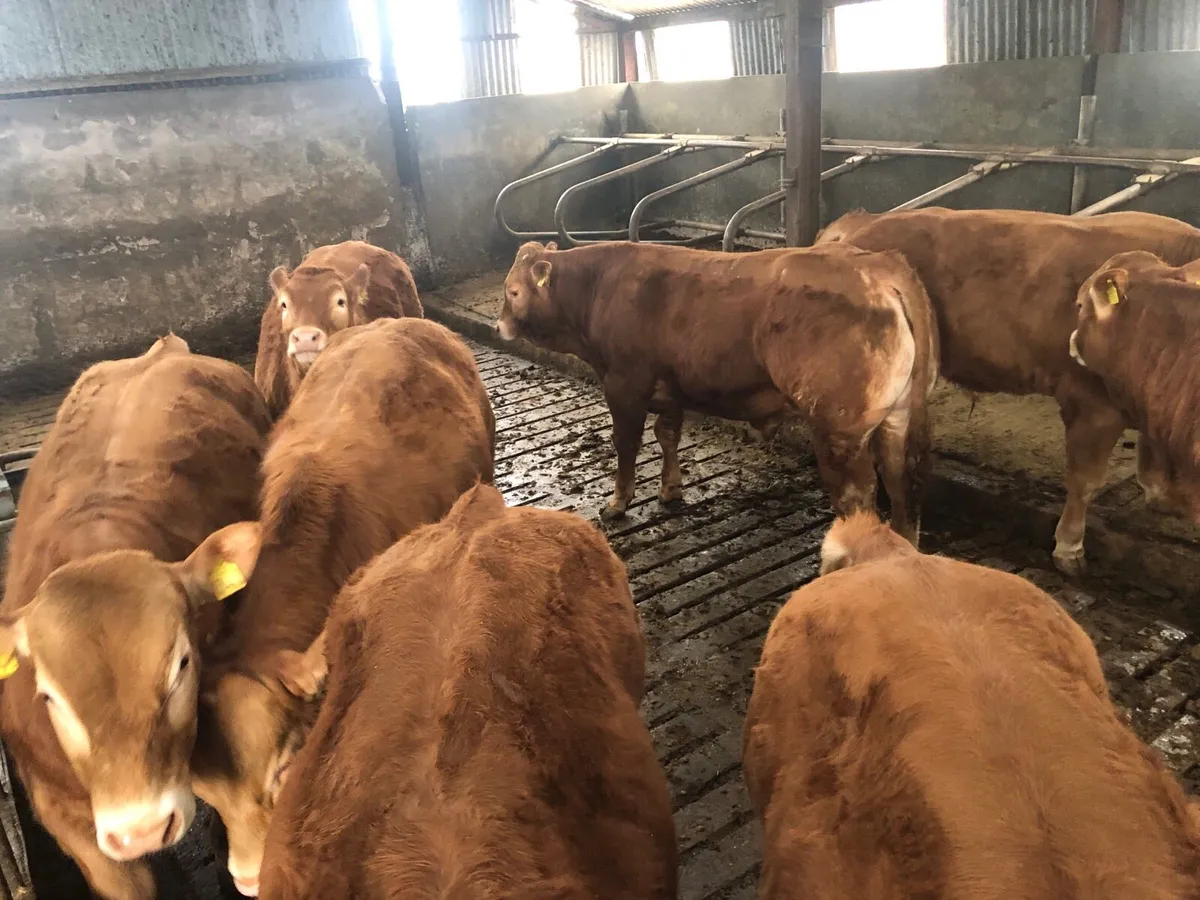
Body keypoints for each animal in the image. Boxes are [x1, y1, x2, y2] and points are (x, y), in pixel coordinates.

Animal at [497, 240, 939, 544]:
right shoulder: (670, 387)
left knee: (858, 498)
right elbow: (667, 434)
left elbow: (627, 444)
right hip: (898, 418)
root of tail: (878, 267)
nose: (498, 326)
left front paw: (617, 503)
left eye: (513, 292)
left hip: (839, 430)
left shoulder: (624, 385)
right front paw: (671, 489)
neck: (597, 291)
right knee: (904, 488)